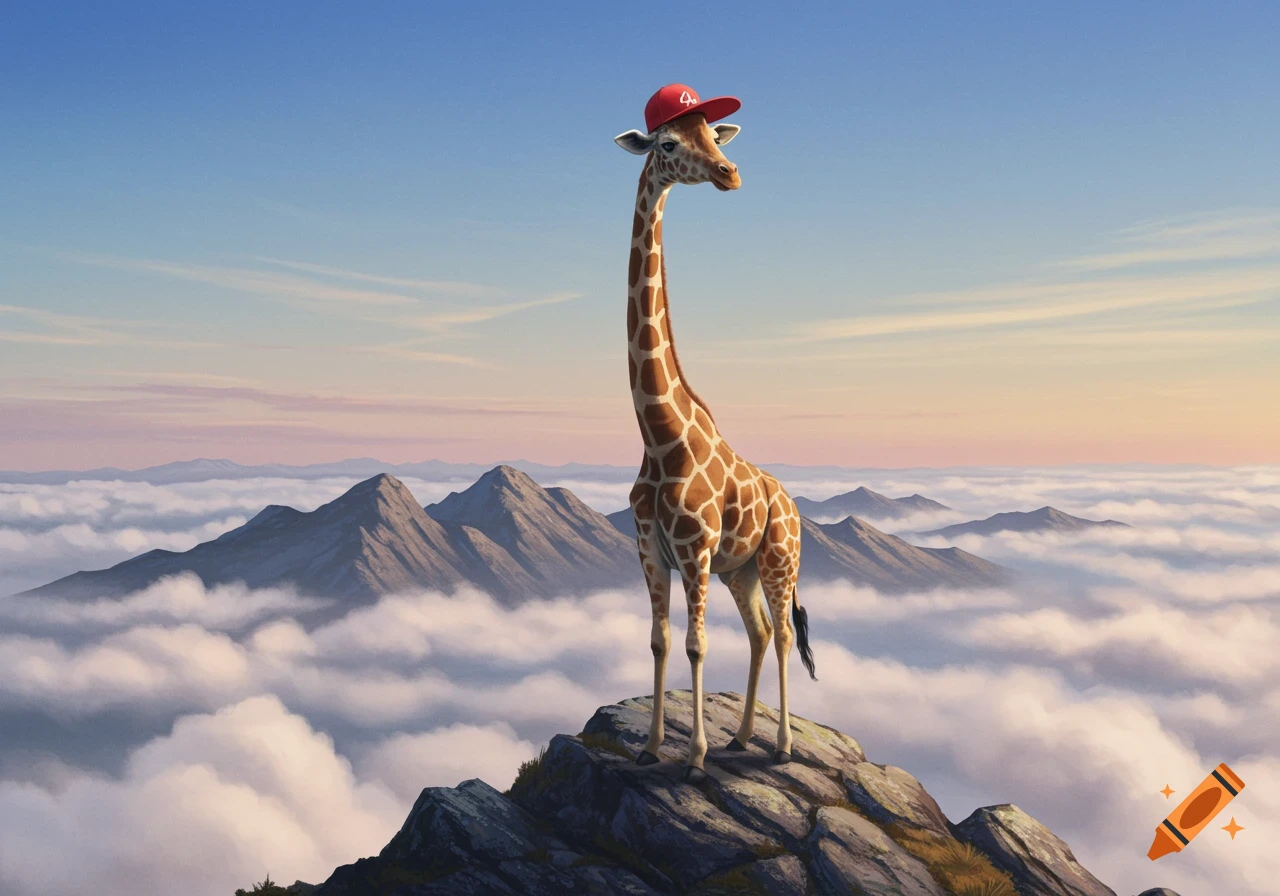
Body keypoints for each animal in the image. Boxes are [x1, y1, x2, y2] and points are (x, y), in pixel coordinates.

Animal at [614, 87, 817, 784]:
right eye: (669, 141)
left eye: (715, 136)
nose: (731, 174)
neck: (659, 435)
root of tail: (793, 505)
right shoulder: (650, 549)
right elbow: (660, 640)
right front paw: (652, 746)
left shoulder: (695, 548)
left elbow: (697, 645)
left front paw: (695, 754)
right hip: (742, 571)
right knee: (760, 633)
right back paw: (744, 736)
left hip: (779, 560)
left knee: (784, 635)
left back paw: (779, 744)